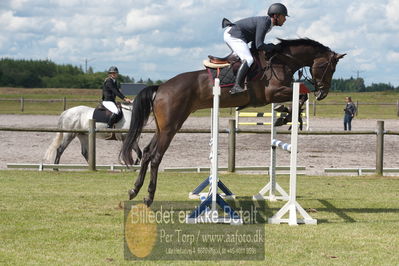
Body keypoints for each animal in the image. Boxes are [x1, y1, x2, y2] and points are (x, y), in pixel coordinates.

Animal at [120, 37, 346, 205]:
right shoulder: (272, 93)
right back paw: (149, 196)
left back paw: (134, 190)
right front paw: (286, 116)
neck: (281, 60)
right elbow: (302, 95)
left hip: (163, 127)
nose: (323, 93)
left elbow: (301, 97)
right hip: (170, 127)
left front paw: (286, 117)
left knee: (147, 153)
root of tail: (161, 88)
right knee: (156, 157)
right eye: (328, 67)